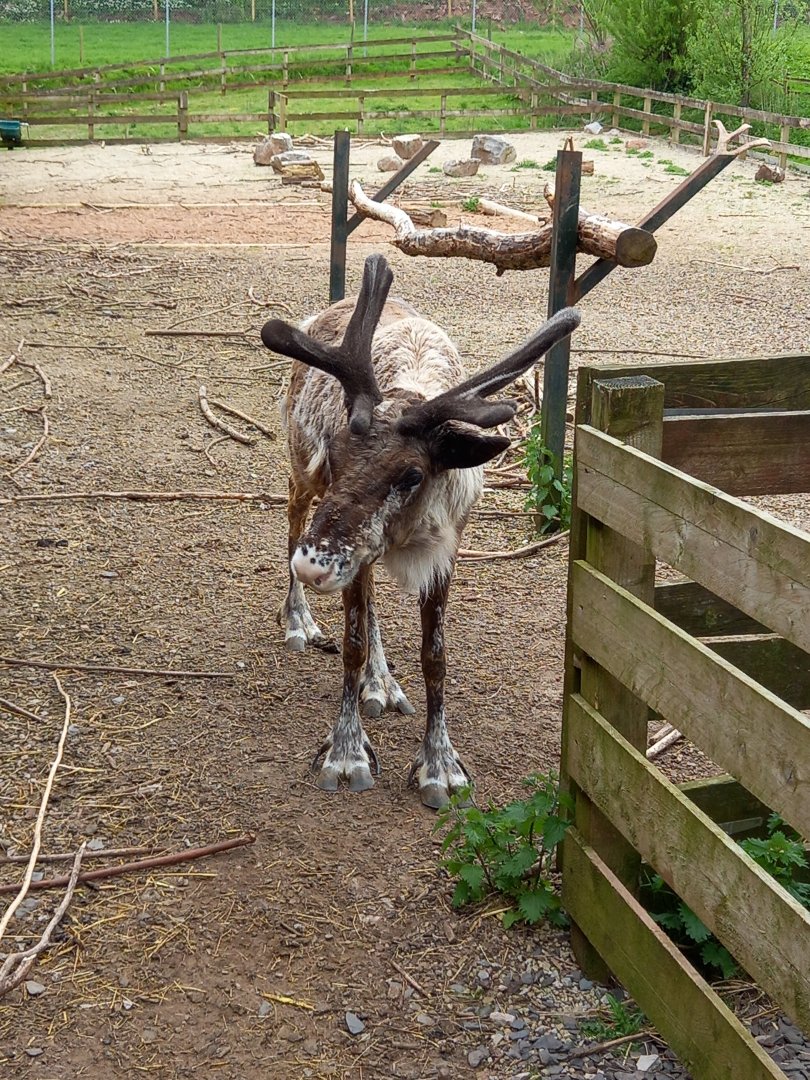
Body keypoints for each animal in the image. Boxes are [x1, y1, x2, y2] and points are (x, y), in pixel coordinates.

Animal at [260, 253, 580, 808]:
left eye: (411, 474)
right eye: (337, 451)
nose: (313, 564)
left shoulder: (446, 552)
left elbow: (435, 656)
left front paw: (440, 765)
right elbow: (352, 643)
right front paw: (346, 754)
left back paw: (381, 683)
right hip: (302, 474)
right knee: (294, 521)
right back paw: (300, 620)